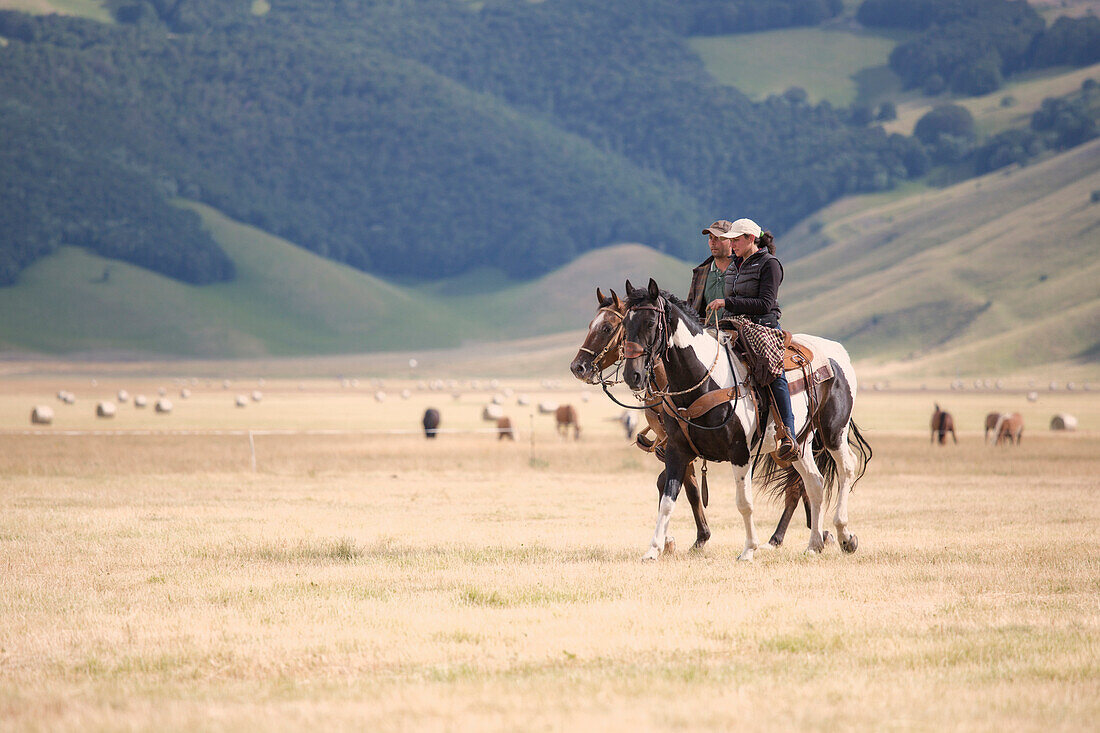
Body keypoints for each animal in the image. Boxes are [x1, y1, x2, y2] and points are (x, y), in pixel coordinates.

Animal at [572, 286, 822, 548]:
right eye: (591, 325)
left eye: (607, 327)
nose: (578, 367)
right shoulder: (675, 447)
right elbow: (676, 486)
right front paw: (678, 539)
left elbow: (685, 487)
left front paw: (692, 538)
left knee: (799, 485)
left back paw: (790, 537)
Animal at [620, 279, 866, 559]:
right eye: (624, 323)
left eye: (651, 322)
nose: (632, 375)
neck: (703, 379)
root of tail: (838, 353)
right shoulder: (677, 450)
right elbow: (667, 501)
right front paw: (653, 550)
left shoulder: (740, 452)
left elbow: (744, 503)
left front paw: (748, 549)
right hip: (801, 443)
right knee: (814, 482)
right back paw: (814, 544)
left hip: (834, 432)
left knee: (846, 467)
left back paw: (845, 535)